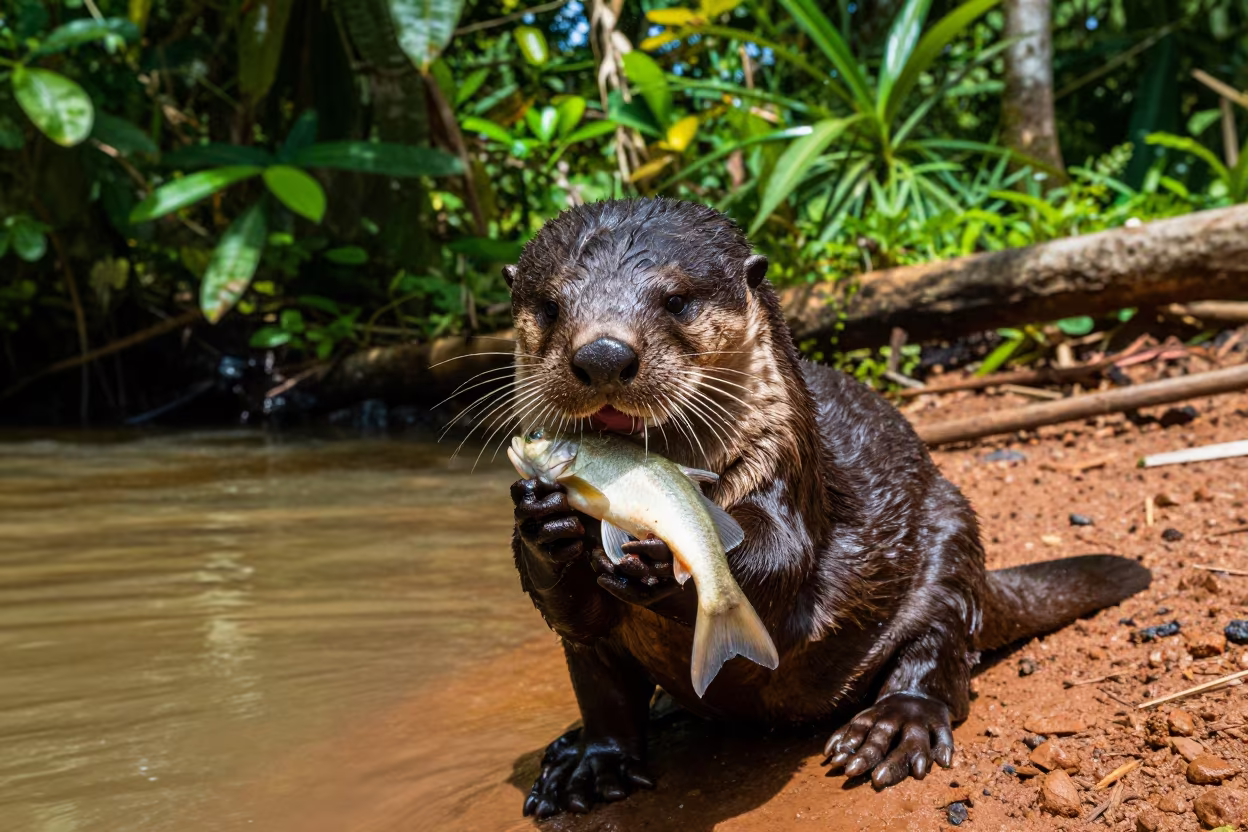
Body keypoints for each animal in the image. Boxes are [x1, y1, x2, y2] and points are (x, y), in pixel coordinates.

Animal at [501, 198, 1149, 819]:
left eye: (677, 300)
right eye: (551, 306)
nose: (604, 355)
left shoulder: (786, 469)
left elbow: (783, 559)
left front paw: (659, 562)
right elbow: (570, 611)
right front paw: (543, 522)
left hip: (952, 539)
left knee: (939, 644)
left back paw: (893, 726)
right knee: (603, 691)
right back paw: (585, 764)